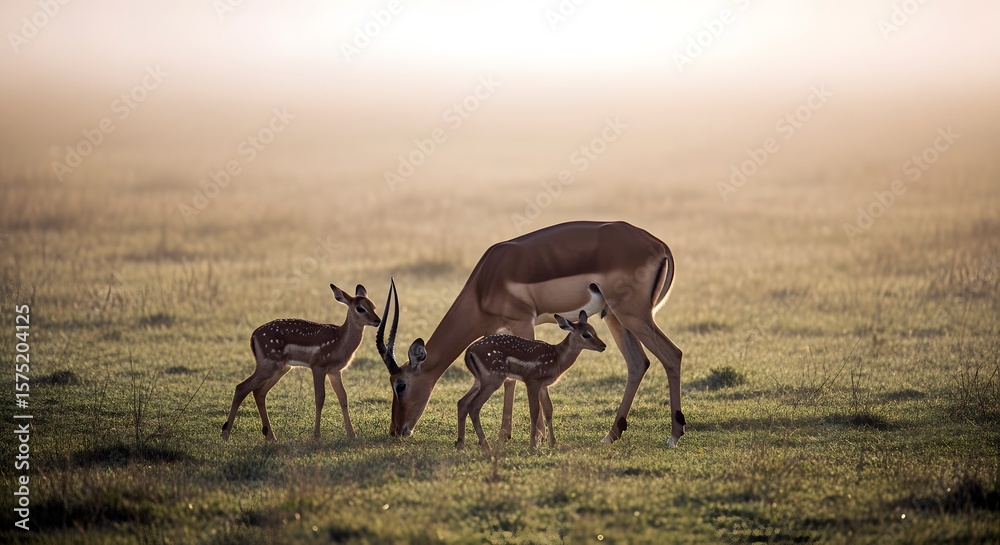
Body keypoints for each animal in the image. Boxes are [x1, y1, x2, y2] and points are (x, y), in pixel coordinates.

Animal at [221, 284, 380, 442]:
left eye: (373, 306)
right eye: (360, 308)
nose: (377, 320)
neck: (340, 341)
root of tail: (253, 336)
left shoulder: (335, 371)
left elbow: (343, 397)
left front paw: (352, 434)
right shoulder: (318, 366)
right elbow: (320, 397)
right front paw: (316, 435)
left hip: (281, 367)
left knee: (259, 392)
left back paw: (271, 436)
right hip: (269, 364)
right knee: (241, 387)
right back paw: (225, 434)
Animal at [457, 311, 607, 450]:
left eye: (595, 331)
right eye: (586, 334)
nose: (603, 345)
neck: (557, 358)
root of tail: (469, 352)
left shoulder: (544, 385)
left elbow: (548, 410)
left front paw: (553, 443)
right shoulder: (532, 380)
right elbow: (534, 411)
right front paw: (533, 445)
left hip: (480, 379)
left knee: (462, 402)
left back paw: (460, 445)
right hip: (494, 377)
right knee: (474, 406)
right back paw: (486, 446)